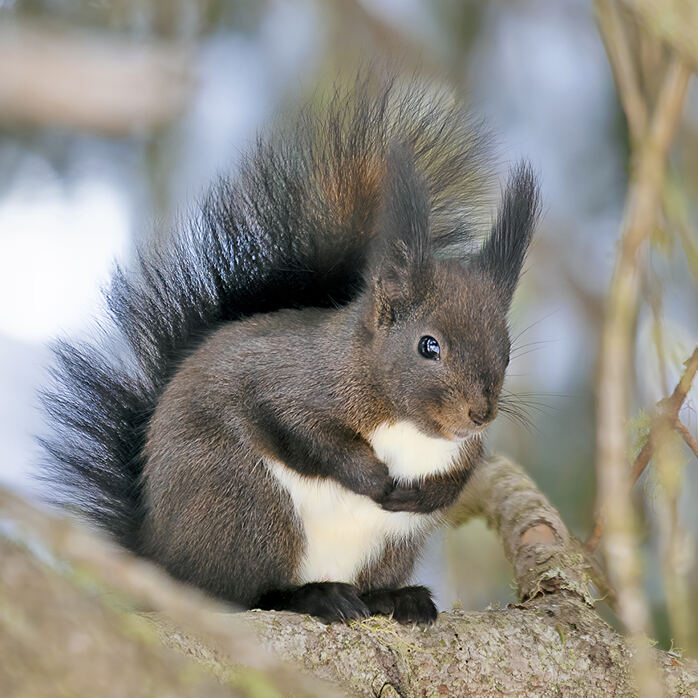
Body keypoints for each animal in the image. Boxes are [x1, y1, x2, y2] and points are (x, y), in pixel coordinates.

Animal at [41, 77, 540, 625]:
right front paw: (371, 476)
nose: (480, 414)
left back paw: (394, 598)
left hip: (386, 548)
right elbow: (301, 429)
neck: (407, 423)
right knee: (237, 594)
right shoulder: (290, 381)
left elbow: (459, 476)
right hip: (244, 506)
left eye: (507, 353)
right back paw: (309, 596)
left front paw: (425, 493)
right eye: (428, 346)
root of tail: (159, 556)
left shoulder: (463, 451)